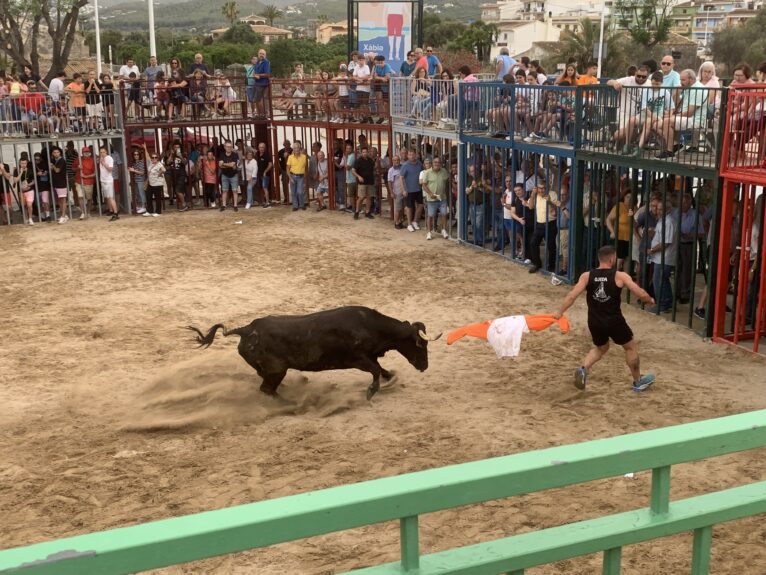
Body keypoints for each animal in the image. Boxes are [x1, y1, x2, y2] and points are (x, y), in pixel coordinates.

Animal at [184, 308, 444, 398]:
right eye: (421, 345)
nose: (424, 366)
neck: (369, 325)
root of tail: (247, 329)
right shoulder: (357, 359)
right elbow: (375, 371)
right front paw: (371, 392)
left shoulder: (367, 358)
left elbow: (381, 369)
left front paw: (391, 378)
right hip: (277, 370)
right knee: (266, 389)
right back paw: (289, 403)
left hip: (269, 370)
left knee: (265, 385)